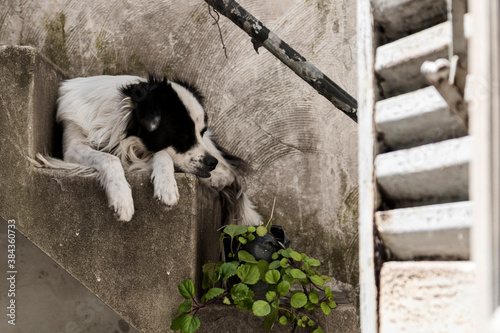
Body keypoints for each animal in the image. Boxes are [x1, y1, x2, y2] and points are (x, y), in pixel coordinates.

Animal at [34, 74, 262, 224]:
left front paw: (167, 185)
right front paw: (122, 198)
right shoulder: (72, 147)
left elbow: (163, 154)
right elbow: (109, 158)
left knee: (230, 172)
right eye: (184, 135)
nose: (211, 163)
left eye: (200, 131)